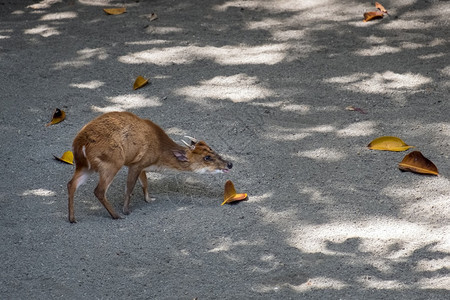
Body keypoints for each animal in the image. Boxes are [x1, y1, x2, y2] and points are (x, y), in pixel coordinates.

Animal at [69, 112, 236, 223]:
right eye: (207, 157)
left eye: (212, 149)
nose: (229, 163)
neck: (159, 155)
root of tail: (80, 143)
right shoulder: (136, 164)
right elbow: (129, 188)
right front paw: (126, 210)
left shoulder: (142, 165)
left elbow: (145, 183)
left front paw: (149, 199)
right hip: (112, 162)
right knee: (99, 190)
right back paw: (116, 215)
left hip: (85, 165)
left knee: (71, 184)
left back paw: (72, 218)